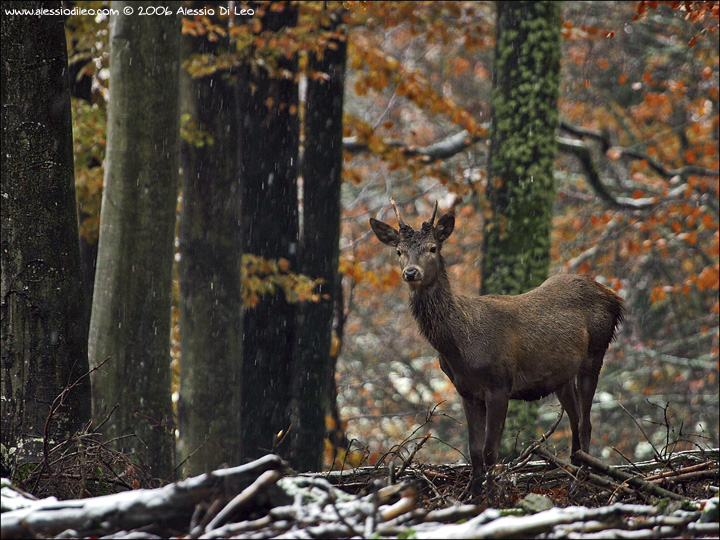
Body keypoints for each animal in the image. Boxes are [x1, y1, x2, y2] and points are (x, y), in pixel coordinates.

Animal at [368, 198, 620, 494]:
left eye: (432, 247)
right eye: (399, 251)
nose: (411, 272)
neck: (461, 344)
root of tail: (614, 297)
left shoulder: (500, 383)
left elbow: (490, 450)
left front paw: (493, 494)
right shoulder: (466, 390)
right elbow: (475, 449)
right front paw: (474, 492)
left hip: (596, 352)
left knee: (586, 421)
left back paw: (581, 481)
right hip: (562, 375)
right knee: (575, 418)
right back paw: (574, 471)